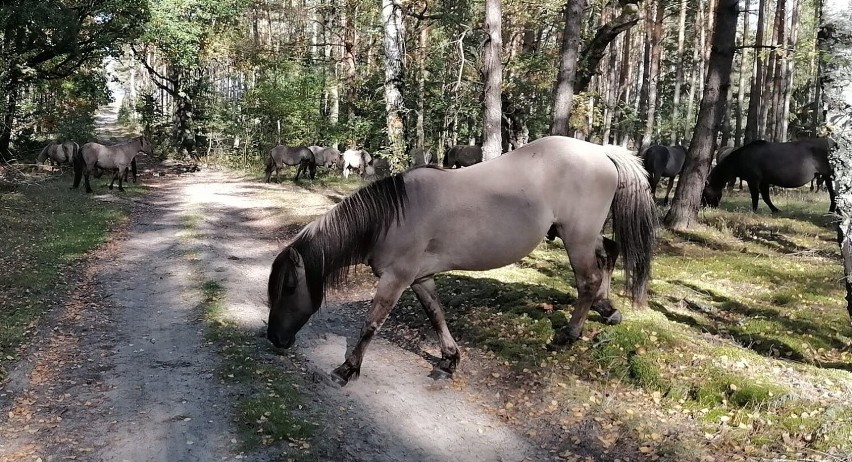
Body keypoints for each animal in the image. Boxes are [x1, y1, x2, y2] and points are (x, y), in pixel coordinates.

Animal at [268, 136, 660, 386]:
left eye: (289, 287)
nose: (274, 338)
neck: (392, 216)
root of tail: (601, 151)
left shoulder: (395, 279)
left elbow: (371, 324)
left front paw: (347, 368)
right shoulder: (419, 278)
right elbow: (436, 314)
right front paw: (449, 359)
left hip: (576, 237)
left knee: (588, 279)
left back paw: (570, 334)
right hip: (582, 235)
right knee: (608, 254)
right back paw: (607, 309)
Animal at [704, 139, 836, 213]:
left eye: (705, 193)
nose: (706, 206)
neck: (740, 158)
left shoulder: (753, 180)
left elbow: (755, 197)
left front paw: (754, 210)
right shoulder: (764, 181)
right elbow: (766, 197)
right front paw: (775, 210)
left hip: (828, 175)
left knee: (832, 194)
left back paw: (831, 211)